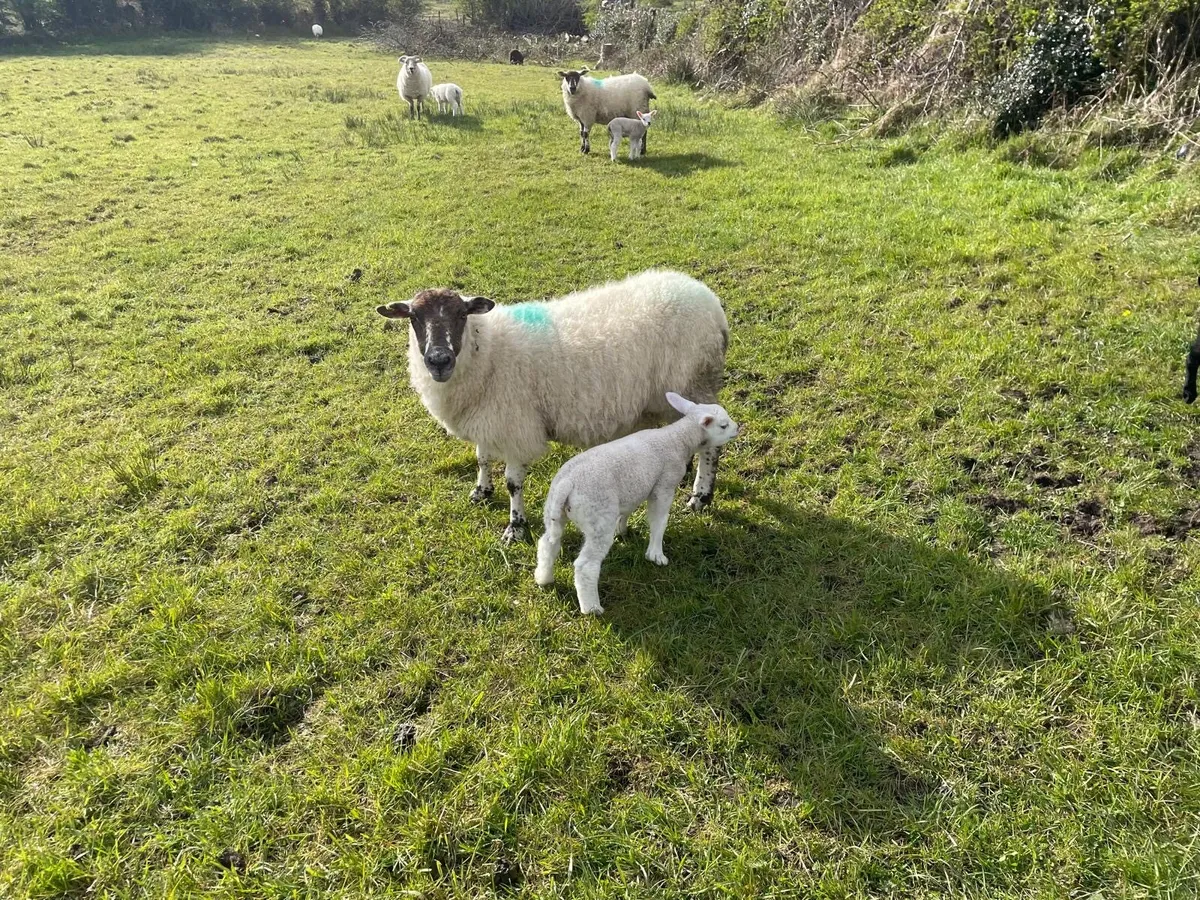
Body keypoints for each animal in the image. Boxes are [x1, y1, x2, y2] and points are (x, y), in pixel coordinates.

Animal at [375, 269, 730, 543]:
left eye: (462, 315)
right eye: (414, 317)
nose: (438, 361)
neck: (488, 351)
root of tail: (709, 300)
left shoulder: (515, 426)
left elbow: (513, 483)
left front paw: (515, 528)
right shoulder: (489, 418)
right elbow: (482, 457)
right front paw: (481, 491)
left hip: (695, 383)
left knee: (711, 447)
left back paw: (700, 497)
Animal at [536, 393, 739, 614]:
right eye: (723, 425)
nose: (738, 428)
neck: (678, 439)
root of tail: (567, 483)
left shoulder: (635, 488)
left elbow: (628, 509)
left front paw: (623, 529)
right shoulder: (664, 485)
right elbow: (659, 520)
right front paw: (656, 554)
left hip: (554, 510)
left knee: (548, 543)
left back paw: (544, 578)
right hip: (598, 518)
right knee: (585, 565)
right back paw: (592, 608)